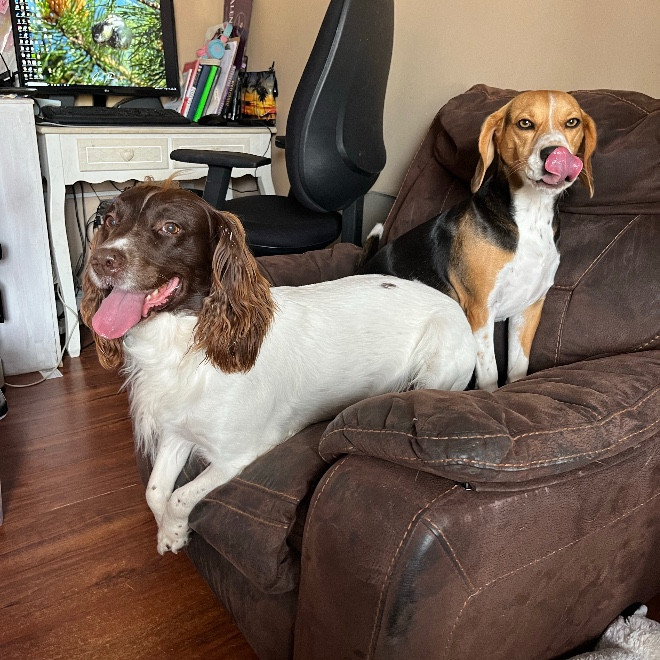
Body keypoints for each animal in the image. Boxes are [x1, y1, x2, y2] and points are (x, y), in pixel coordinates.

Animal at [81, 181, 477, 554]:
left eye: (170, 227)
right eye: (110, 220)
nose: (100, 262)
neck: (186, 346)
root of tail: (449, 303)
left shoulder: (237, 455)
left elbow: (180, 496)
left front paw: (176, 529)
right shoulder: (177, 429)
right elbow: (155, 490)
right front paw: (169, 534)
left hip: (437, 364)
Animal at [362, 90, 597, 391]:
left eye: (572, 122)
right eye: (524, 123)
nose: (554, 154)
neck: (529, 220)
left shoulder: (528, 310)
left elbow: (517, 369)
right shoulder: (480, 311)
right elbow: (490, 373)